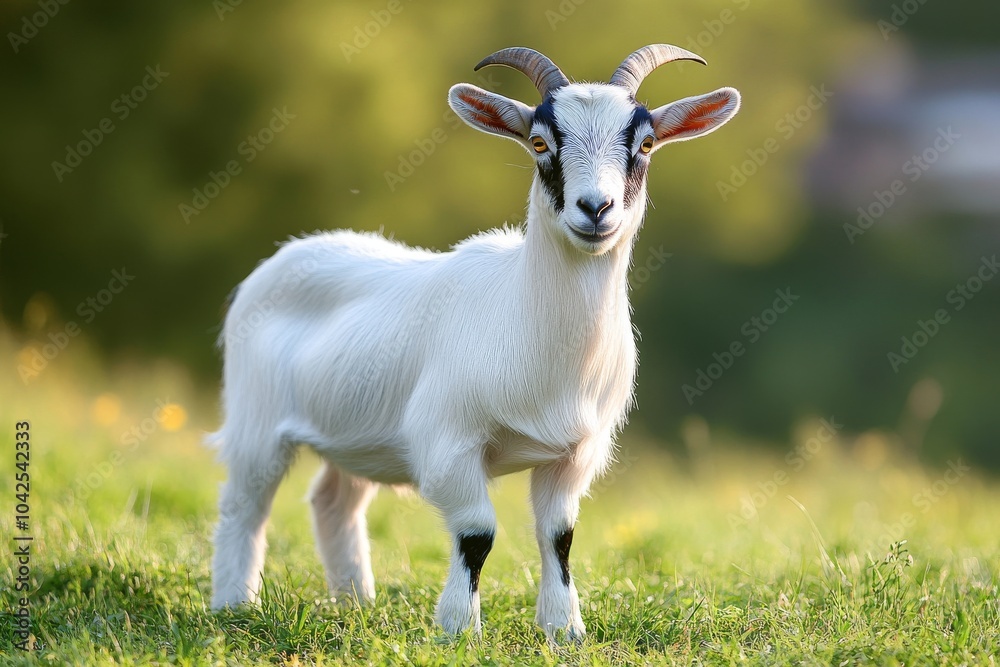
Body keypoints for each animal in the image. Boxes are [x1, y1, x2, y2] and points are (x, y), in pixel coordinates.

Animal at [210, 44, 740, 642]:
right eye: (540, 142)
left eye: (645, 144)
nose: (595, 209)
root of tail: (288, 254)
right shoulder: (447, 442)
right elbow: (477, 533)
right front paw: (459, 628)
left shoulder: (575, 453)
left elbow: (559, 535)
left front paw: (563, 630)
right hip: (256, 418)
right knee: (244, 504)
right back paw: (234, 606)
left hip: (358, 432)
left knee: (333, 501)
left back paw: (355, 604)